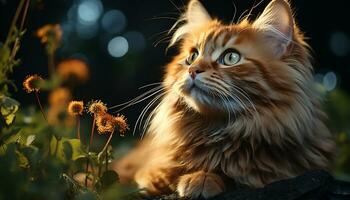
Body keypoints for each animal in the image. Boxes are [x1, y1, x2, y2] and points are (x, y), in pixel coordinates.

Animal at [113, 0, 334, 198]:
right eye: (192, 57)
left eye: (231, 58)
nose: (193, 70)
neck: (218, 132)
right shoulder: (148, 171)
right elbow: (160, 175)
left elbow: (236, 177)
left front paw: (203, 178)